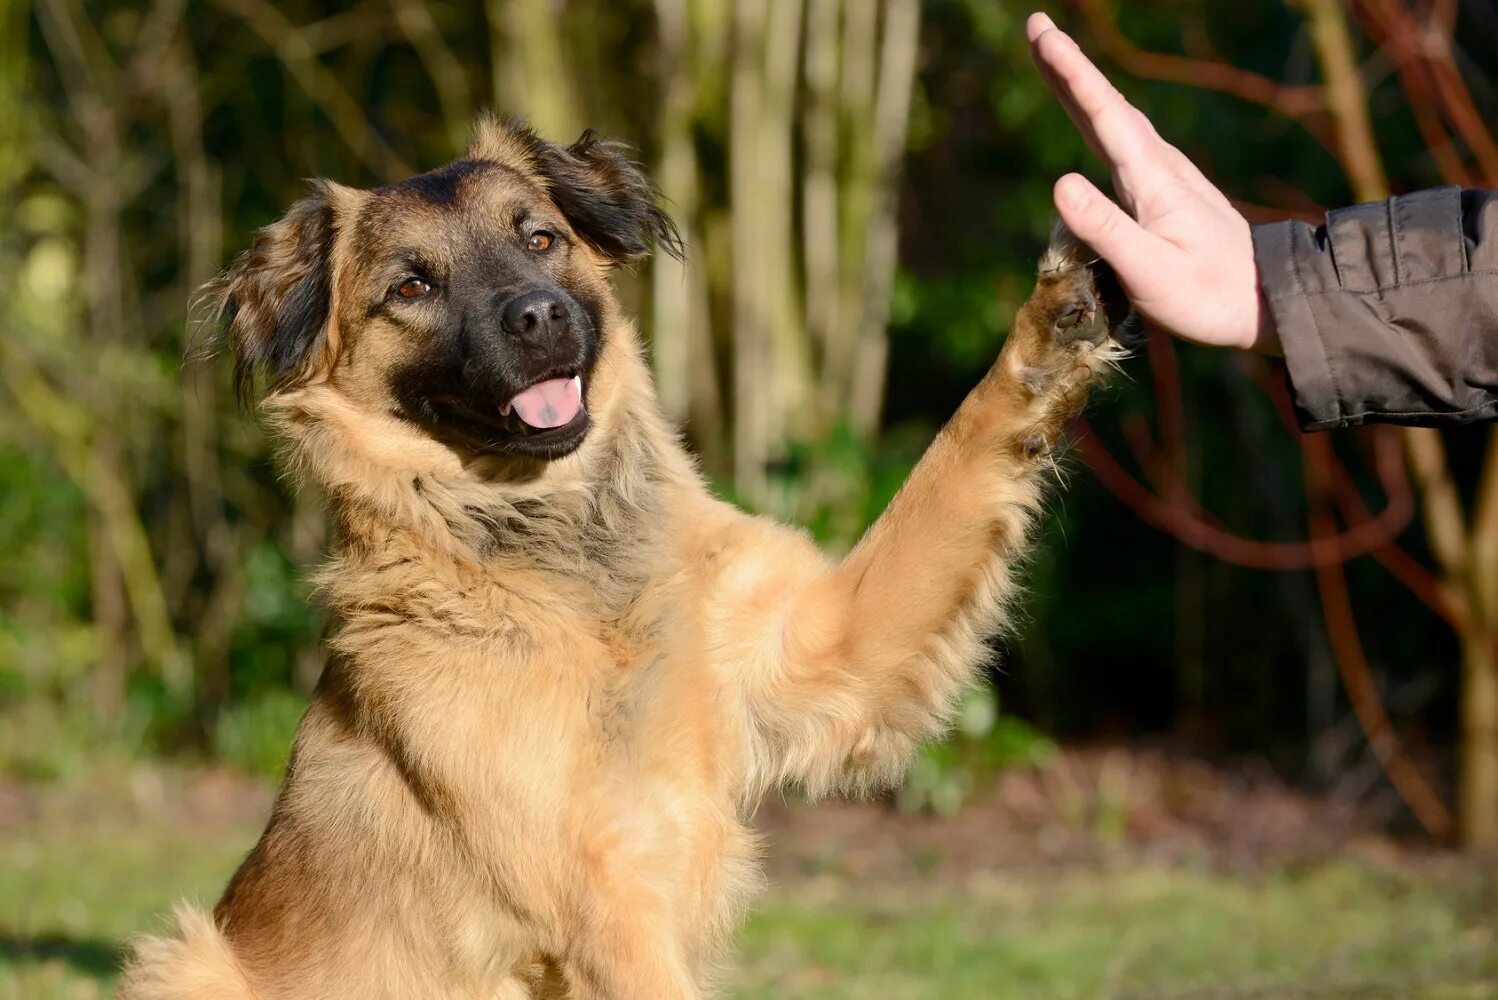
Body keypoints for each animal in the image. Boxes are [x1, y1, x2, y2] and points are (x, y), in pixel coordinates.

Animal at [119, 117, 1126, 999]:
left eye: (540, 237)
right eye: (411, 288)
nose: (538, 316)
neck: (573, 569)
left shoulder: (829, 648)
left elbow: (958, 456)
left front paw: (1052, 328)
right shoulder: (600, 898)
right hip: (184, 960)